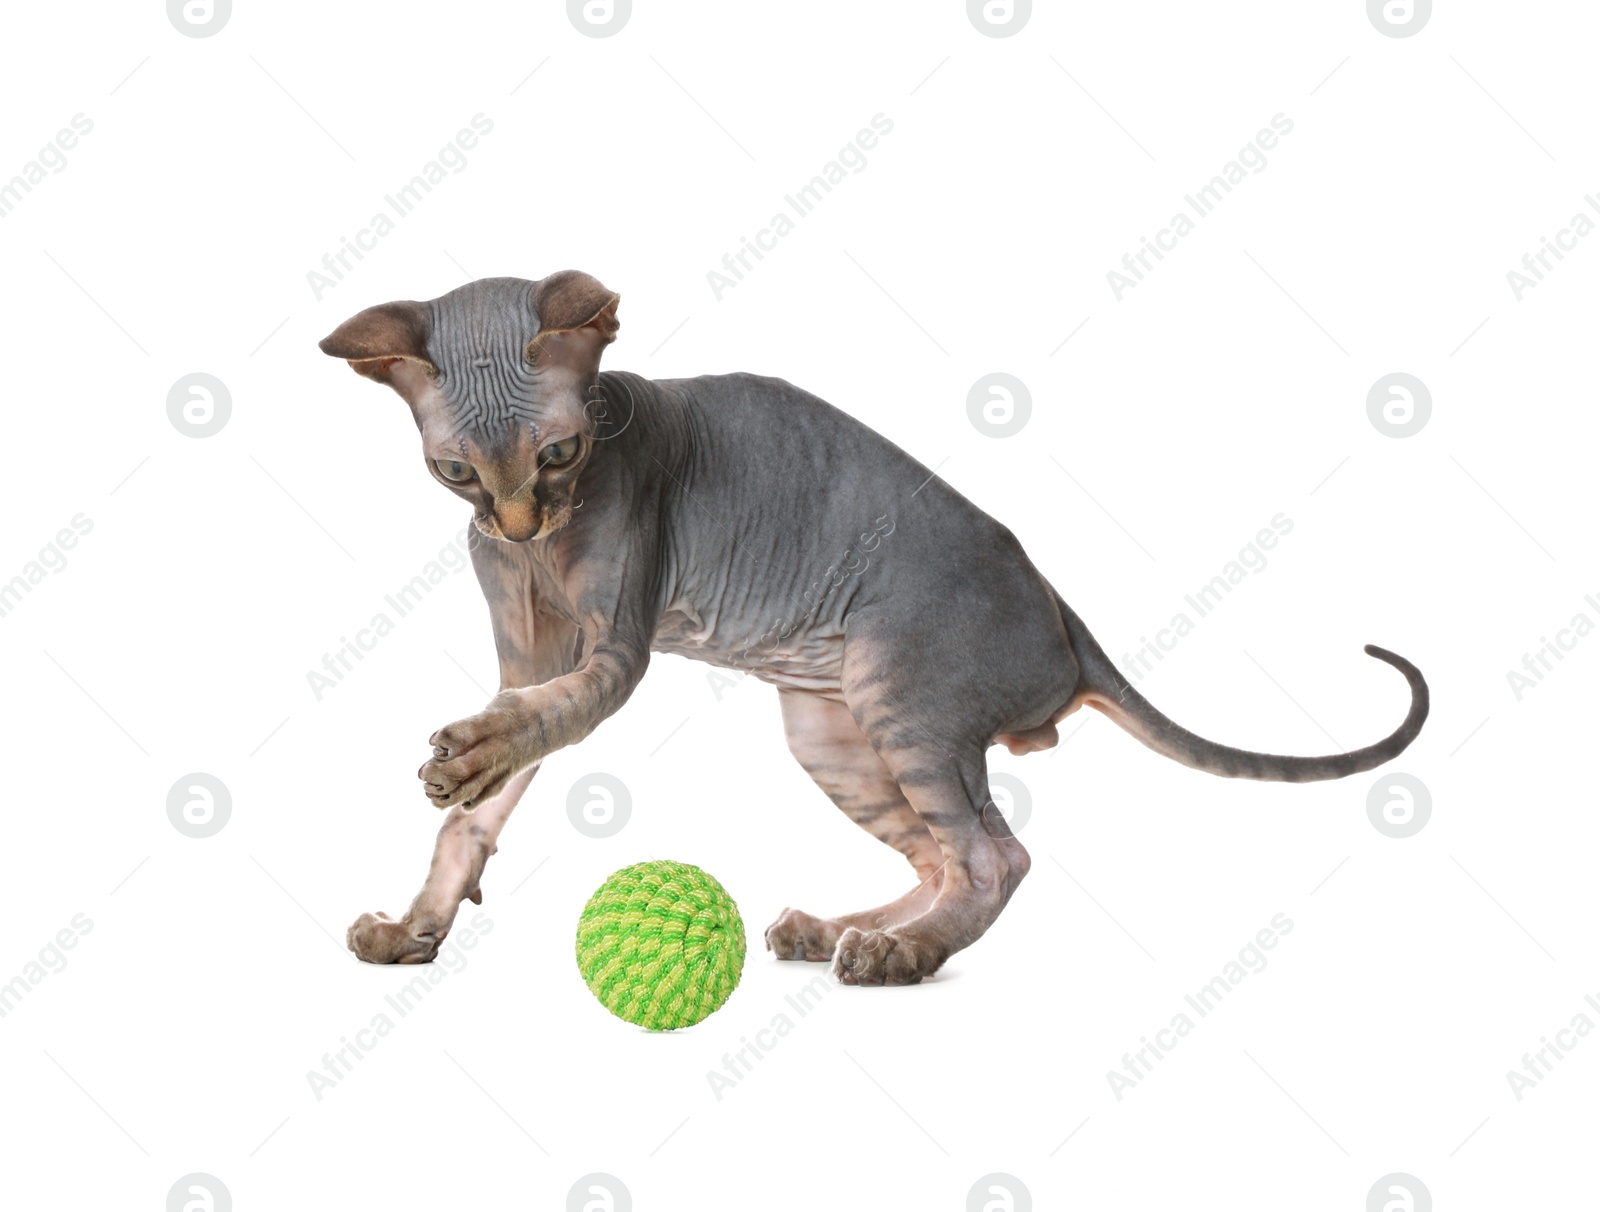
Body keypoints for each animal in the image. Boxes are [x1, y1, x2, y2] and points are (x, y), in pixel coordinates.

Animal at [318, 273, 1433, 984]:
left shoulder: (609, 651)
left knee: (996, 859)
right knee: (946, 858)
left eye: (559, 456)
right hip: (833, 732)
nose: (515, 523)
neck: (540, 549)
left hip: (903, 698)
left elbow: (540, 719)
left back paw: (904, 954)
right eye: (455, 472)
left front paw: (467, 756)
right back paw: (836, 931)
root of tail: (1065, 615)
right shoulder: (525, 646)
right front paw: (417, 924)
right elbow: (489, 802)